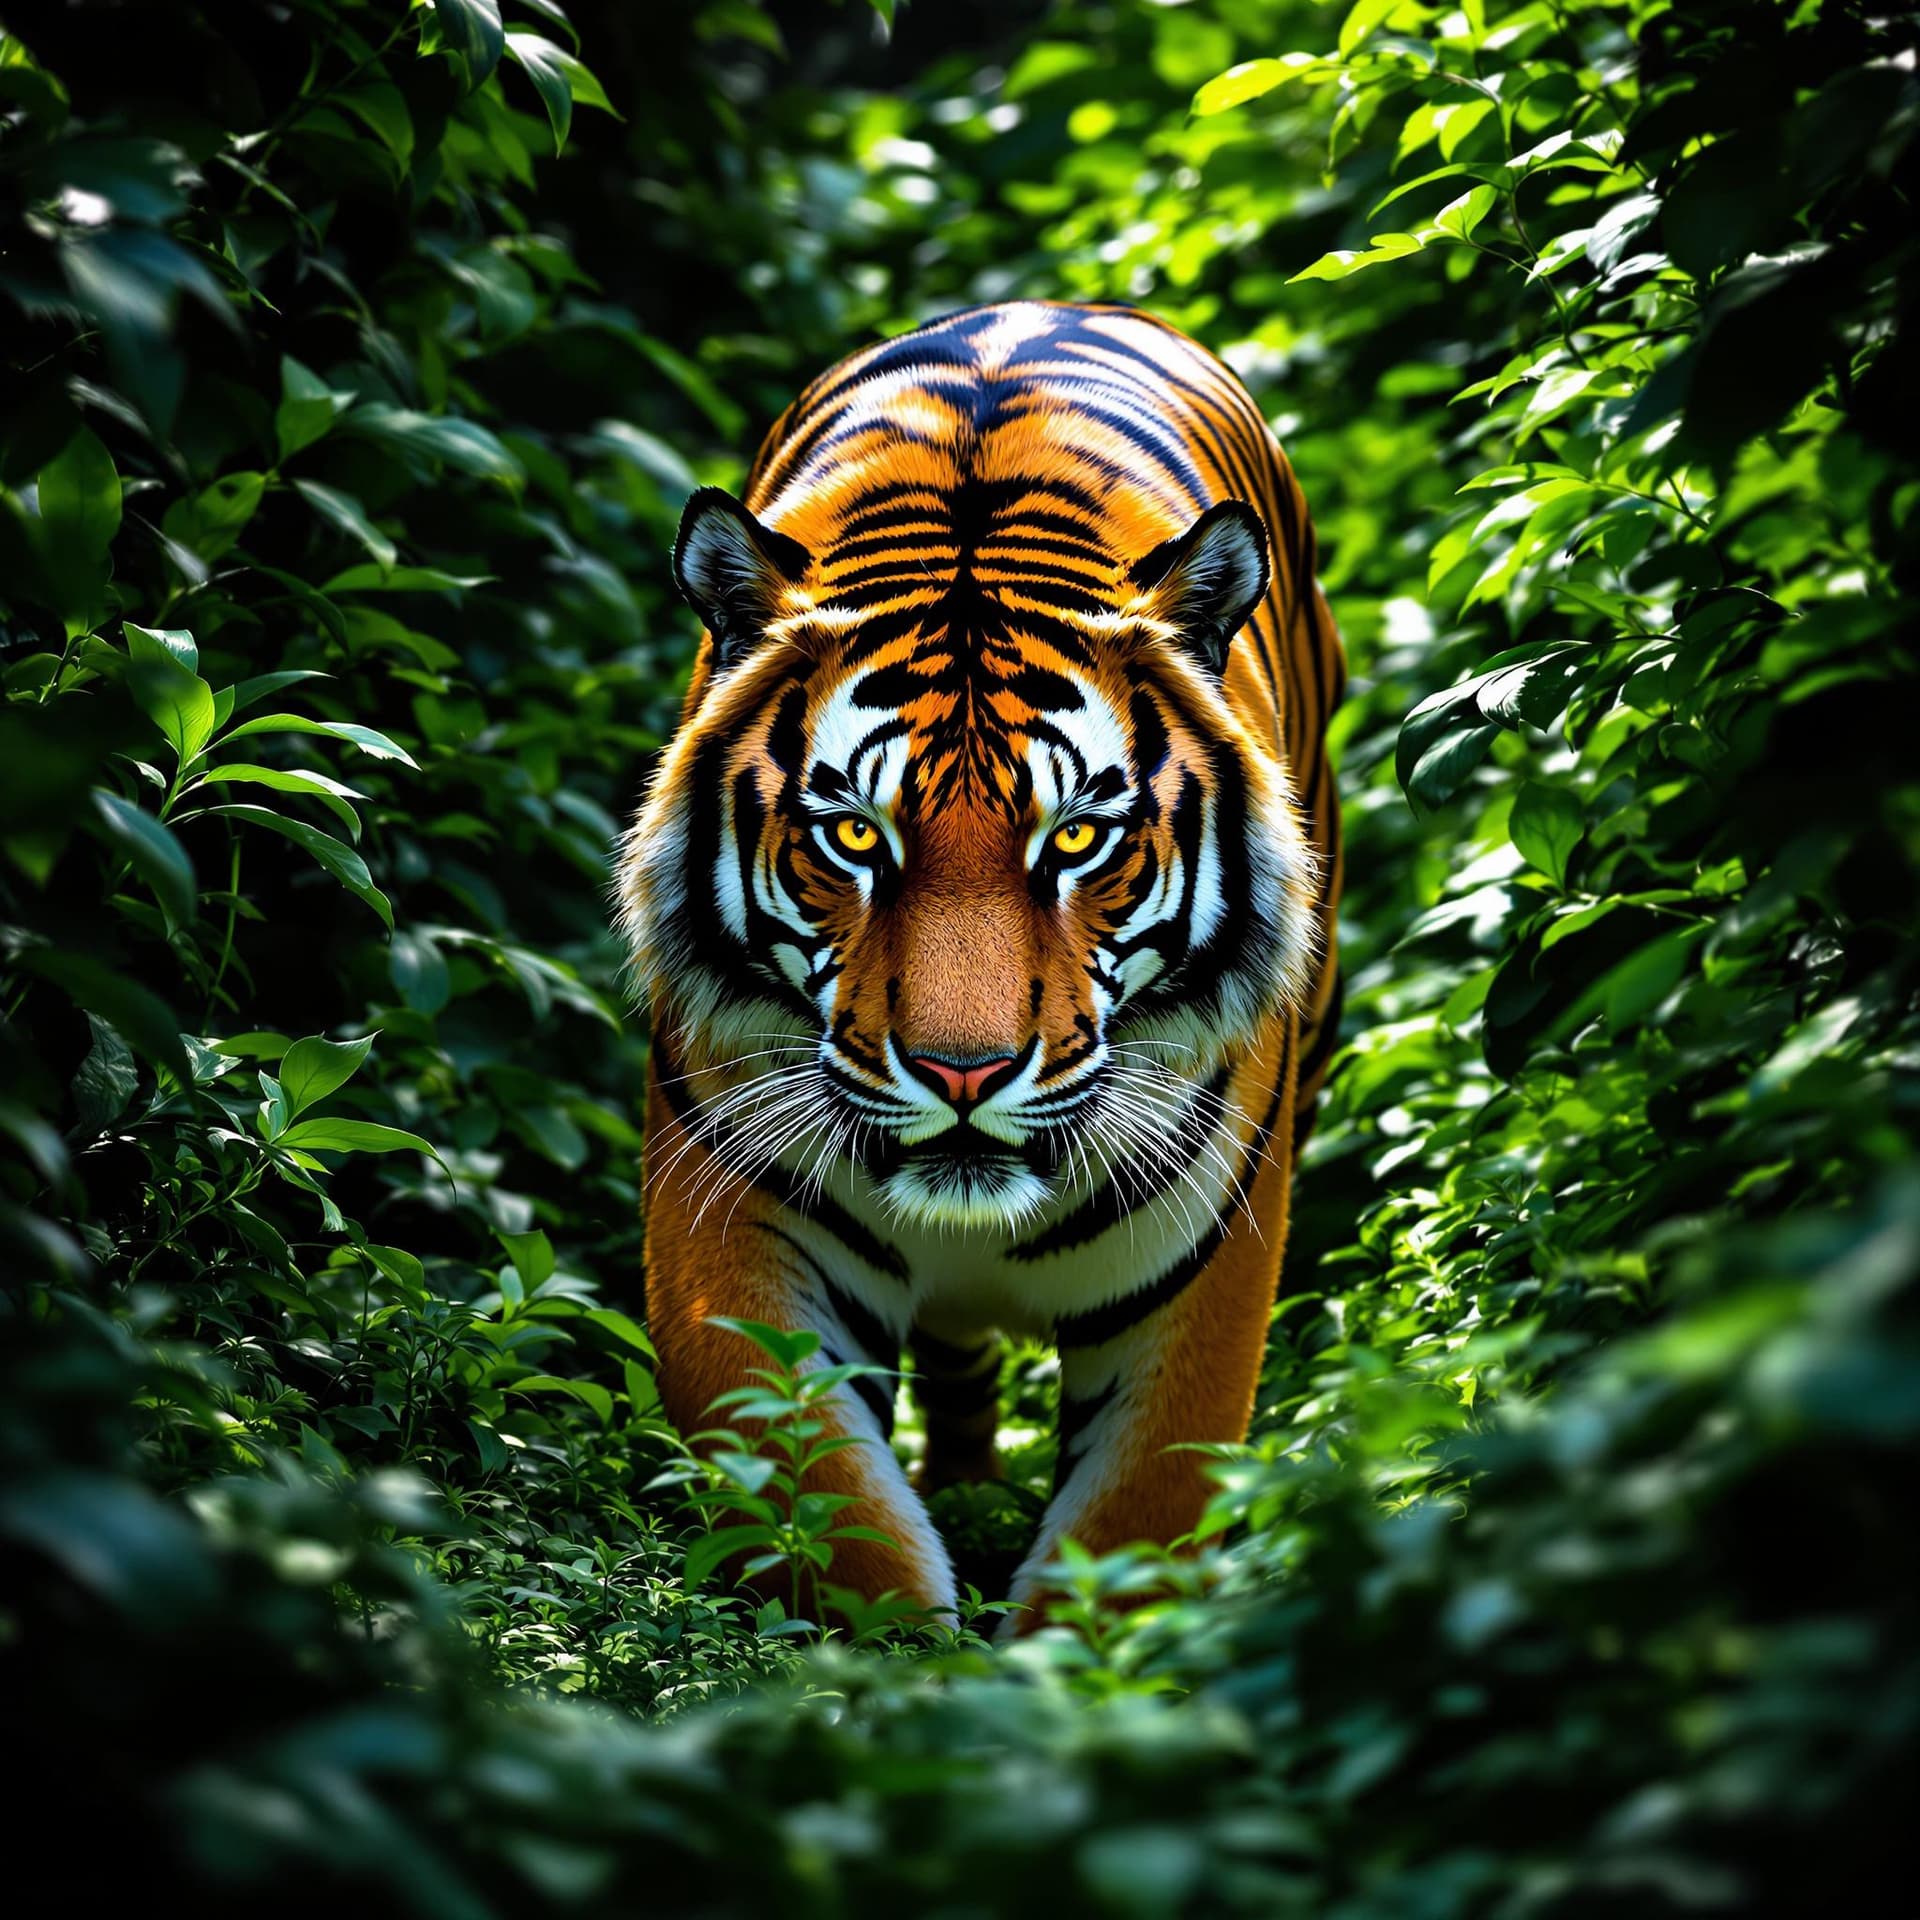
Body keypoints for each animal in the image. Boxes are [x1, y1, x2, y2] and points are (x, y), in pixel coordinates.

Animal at [618, 300, 1344, 1630]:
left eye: (1078, 839)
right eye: (855, 836)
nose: (964, 1074)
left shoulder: (1205, 1263)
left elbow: (1135, 1520)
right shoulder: (732, 1225)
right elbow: (829, 1517)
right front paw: (908, 1661)